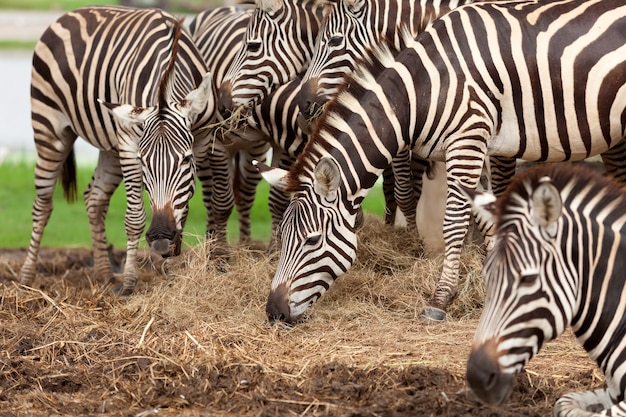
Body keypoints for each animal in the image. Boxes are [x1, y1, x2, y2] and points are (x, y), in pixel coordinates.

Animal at [22, 5, 216, 292]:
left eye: (185, 160)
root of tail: (68, 14)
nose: (160, 239)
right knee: (43, 204)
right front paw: (128, 284)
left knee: (94, 198)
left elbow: (183, 208)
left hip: (110, 145)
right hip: (49, 126)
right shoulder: (129, 145)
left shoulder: (201, 143)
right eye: (144, 162)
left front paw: (172, 275)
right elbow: (134, 219)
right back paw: (26, 277)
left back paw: (104, 274)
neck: (165, 80)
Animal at [254, 0, 624, 324]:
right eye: (284, 237)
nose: (274, 312)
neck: (424, 87)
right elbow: (485, 217)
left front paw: (440, 300)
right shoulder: (475, 146)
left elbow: (455, 223)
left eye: (312, 240)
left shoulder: (468, 140)